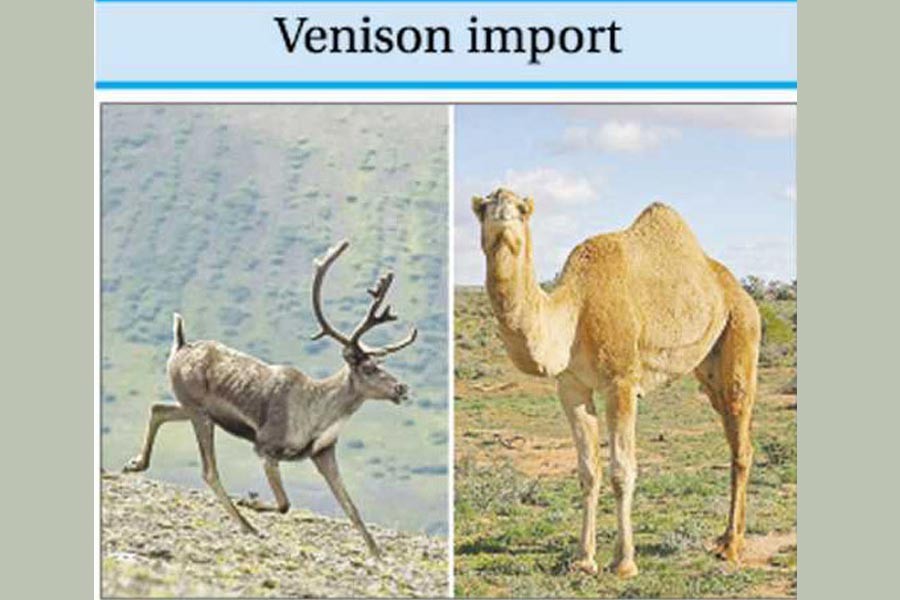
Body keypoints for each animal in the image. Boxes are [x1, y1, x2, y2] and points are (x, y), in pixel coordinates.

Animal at [471, 188, 760, 577]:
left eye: (521, 208)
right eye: (485, 207)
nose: (502, 214)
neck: (574, 310)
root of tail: (739, 291)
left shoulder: (621, 381)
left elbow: (622, 470)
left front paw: (624, 562)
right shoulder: (571, 386)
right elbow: (588, 470)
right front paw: (583, 559)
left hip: (742, 330)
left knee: (741, 437)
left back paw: (731, 547)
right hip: (709, 365)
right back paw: (726, 539)